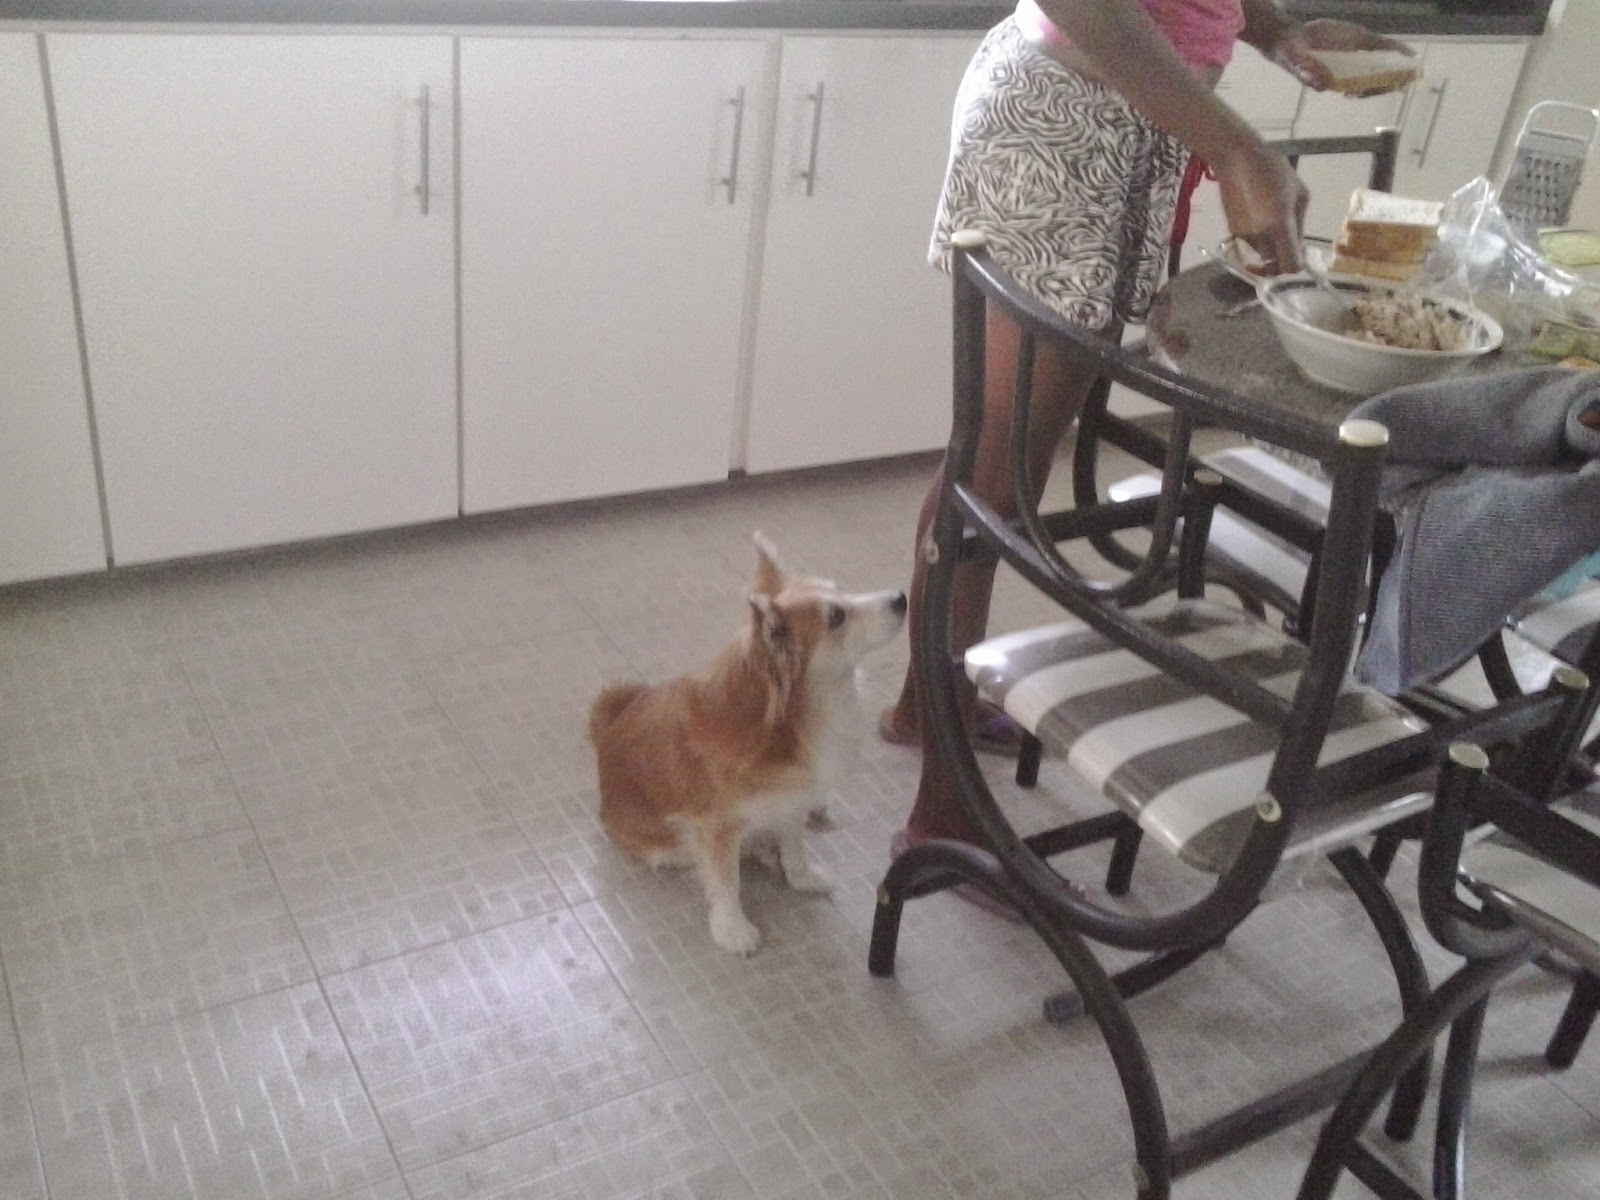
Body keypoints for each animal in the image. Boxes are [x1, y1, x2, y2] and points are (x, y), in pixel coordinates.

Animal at [588, 534, 906, 954]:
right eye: (837, 616)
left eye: (842, 591)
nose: (902, 597)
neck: (788, 721)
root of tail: (605, 732)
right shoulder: (716, 827)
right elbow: (726, 881)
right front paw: (733, 929)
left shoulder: (792, 795)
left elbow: (794, 843)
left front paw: (800, 876)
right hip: (662, 844)